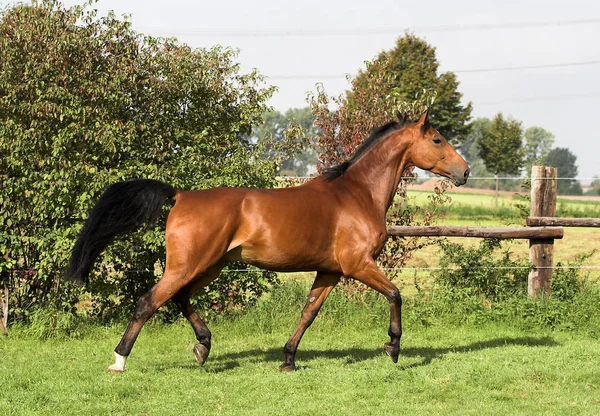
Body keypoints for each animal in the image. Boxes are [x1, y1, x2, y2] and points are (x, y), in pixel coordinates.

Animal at [64, 109, 468, 372]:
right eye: (437, 139)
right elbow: (396, 294)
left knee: (179, 298)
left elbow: (308, 312)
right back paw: (120, 360)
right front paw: (393, 347)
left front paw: (288, 359)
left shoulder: (330, 271)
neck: (356, 194)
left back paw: (203, 347)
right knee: (149, 302)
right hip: (188, 265)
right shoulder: (357, 265)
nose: (464, 172)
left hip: (210, 266)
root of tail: (181, 195)